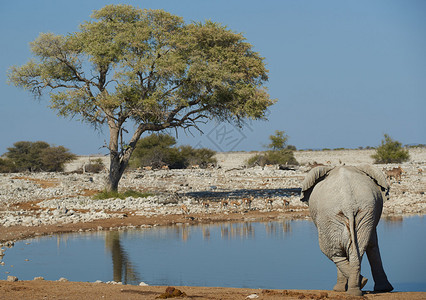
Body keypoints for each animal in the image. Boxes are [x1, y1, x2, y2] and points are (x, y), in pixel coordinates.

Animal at [300, 165, 392, 296]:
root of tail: (349, 205)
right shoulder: (371, 218)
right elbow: (372, 244)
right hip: (364, 213)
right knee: (357, 249)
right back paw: (357, 288)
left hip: (328, 218)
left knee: (333, 251)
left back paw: (354, 286)